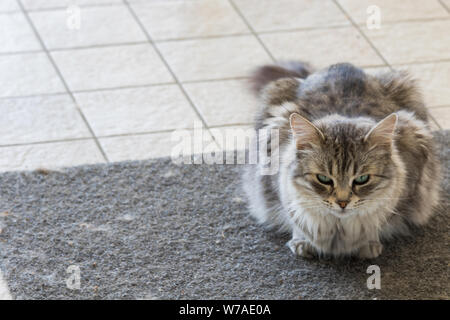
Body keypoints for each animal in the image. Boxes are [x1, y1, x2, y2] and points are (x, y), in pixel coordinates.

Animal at [244, 61, 442, 258]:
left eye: (362, 179)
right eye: (323, 179)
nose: (342, 203)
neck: (338, 230)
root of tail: (340, 65)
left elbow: (376, 222)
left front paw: (369, 244)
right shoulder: (275, 179)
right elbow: (296, 218)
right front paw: (302, 241)